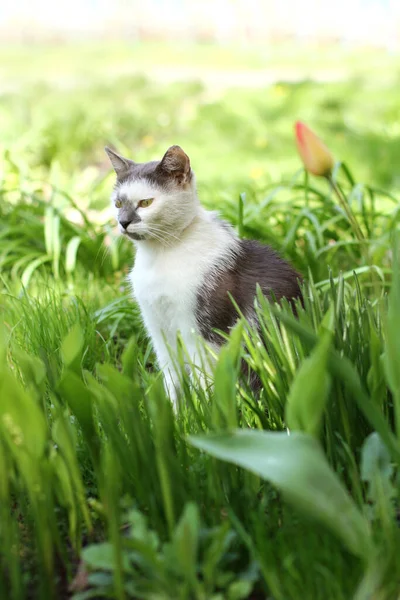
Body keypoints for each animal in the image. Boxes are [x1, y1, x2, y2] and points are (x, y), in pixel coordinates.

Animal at [104, 146, 302, 408]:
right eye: (118, 203)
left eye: (146, 202)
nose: (123, 221)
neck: (160, 256)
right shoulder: (157, 327)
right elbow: (171, 377)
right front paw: (175, 413)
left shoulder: (201, 330)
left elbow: (204, 378)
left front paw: (206, 413)